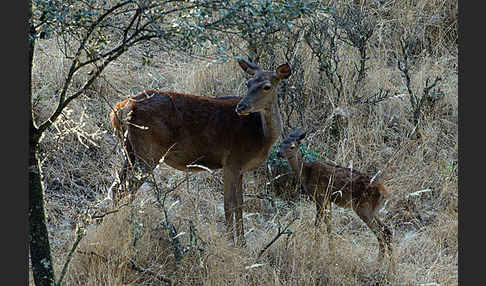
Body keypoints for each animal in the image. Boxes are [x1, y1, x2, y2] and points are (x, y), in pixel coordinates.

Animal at [110, 58, 290, 246]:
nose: (241, 107)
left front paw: (242, 243)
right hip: (148, 152)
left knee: (117, 187)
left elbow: (240, 204)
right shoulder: (231, 161)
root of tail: (122, 108)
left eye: (267, 86)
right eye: (248, 83)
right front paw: (230, 242)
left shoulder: (240, 169)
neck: (262, 135)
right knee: (126, 189)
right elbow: (229, 205)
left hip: (130, 150)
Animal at [276, 129, 392, 262]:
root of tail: (385, 191)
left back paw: (380, 261)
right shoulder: (328, 199)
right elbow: (329, 224)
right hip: (373, 209)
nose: (278, 153)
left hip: (363, 208)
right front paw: (331, 249)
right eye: (280, 144)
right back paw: (389, 263)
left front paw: (316, 248)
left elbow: (317, 224)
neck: (306, 174)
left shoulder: (320, 196)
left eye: (292, 146)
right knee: (387, 230)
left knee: (380, 233)